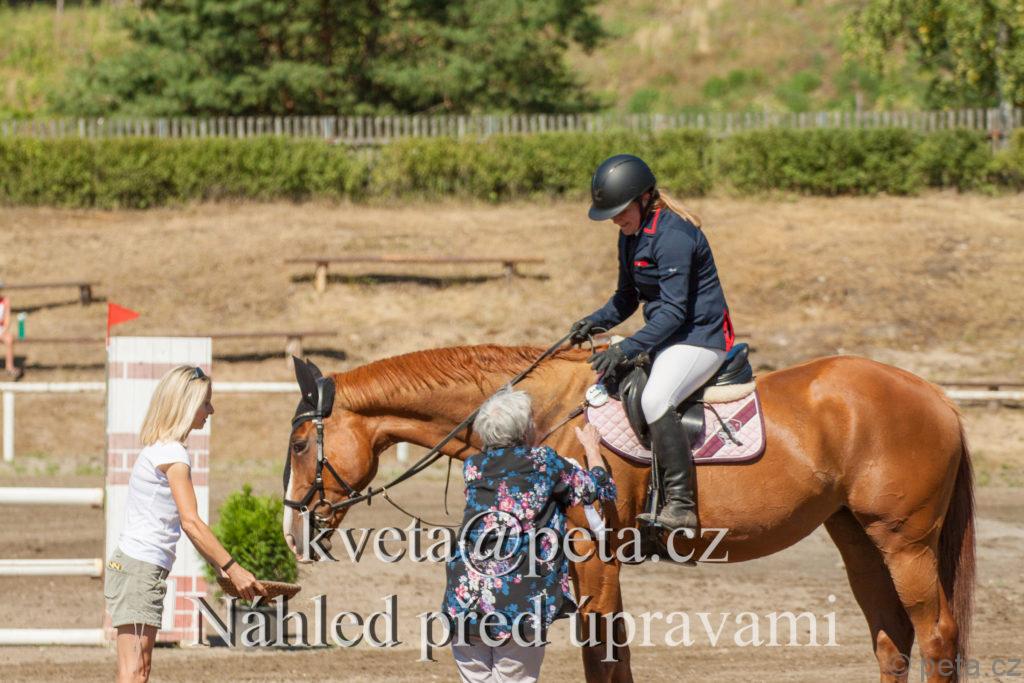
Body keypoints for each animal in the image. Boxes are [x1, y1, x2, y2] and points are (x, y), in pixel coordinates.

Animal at [281, 344, 974, 683]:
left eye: (299, 443)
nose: (292, 530)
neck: (544, 412)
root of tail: (935, 395)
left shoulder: (594, 563)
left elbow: (604, 660)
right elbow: (613, 659)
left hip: (905, 543)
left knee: (937, 636)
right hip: (859, 541)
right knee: (892, 640)